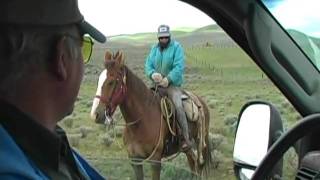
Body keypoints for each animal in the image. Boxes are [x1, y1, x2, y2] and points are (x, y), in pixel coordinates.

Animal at [90, 50, 212, 180]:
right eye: (98, 80)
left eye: (112, 82)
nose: (95, 114)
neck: (140, 123)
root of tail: (201, 102)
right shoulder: (135, 161)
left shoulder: (155, 161)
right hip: (189, 150)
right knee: (193, 166)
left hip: (200, 144)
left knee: (199, 166)